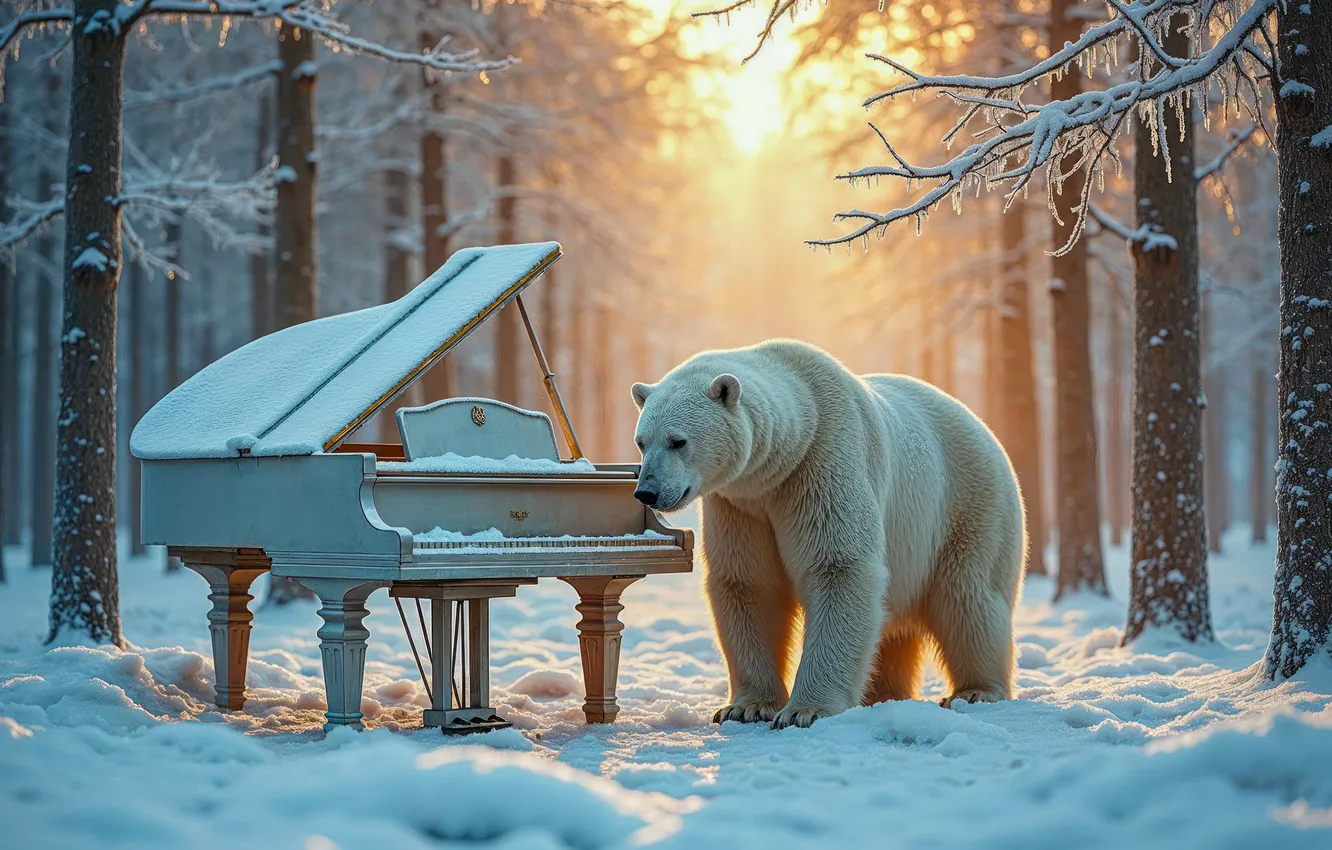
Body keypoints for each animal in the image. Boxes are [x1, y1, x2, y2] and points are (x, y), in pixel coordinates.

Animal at [630, 339, 1025, 730]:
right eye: (641, 442)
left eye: (677, 441)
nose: (646, 492)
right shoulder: (741, 505)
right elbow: (749, 583)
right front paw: (745, 708)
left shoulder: (822, 463)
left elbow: (838, 566)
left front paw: (805, 711)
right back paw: (882, 693)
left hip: (967, 503)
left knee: (968, 594)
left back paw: (975, 690)